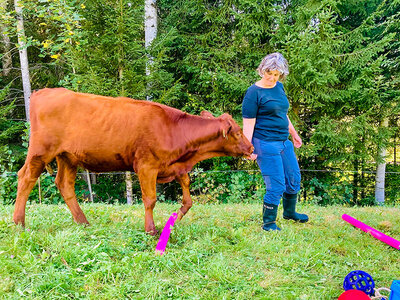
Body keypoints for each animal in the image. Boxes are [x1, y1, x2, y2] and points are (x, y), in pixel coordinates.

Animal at [15, 88, 255, 233]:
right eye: (236, 132)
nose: (252, 148)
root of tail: (44, 91)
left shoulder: (173, 166)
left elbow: (187, 194)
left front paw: (175, 219)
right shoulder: (146, 166)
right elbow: (150, 199)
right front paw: (151, 230)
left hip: (68, 157)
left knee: (64, 184)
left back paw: (83, 222)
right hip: (40, 151)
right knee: (26, 178)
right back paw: (19, 222)